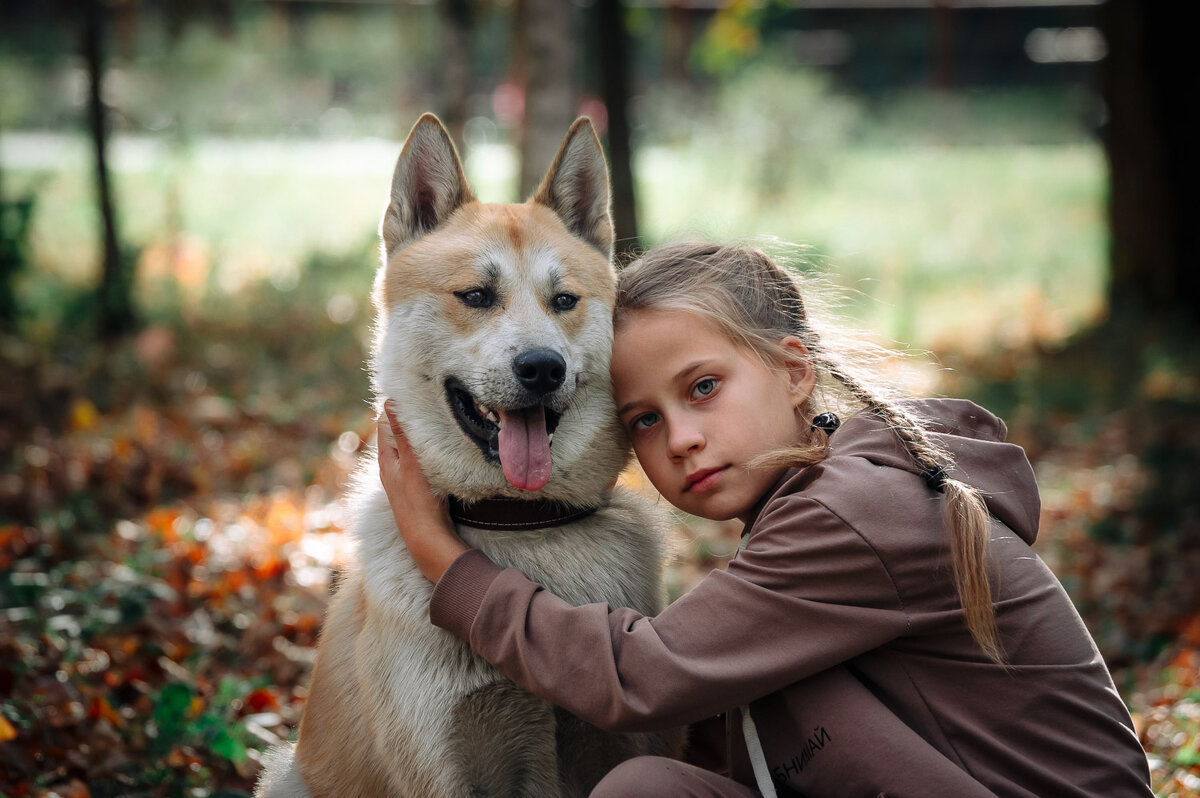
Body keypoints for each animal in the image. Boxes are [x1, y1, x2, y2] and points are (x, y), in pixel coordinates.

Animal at [254, 113, 681, 796]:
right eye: (477, 296)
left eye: (565, 301)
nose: (542, 367)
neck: (520, 527)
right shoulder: (444, 765)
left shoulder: (617, 743)